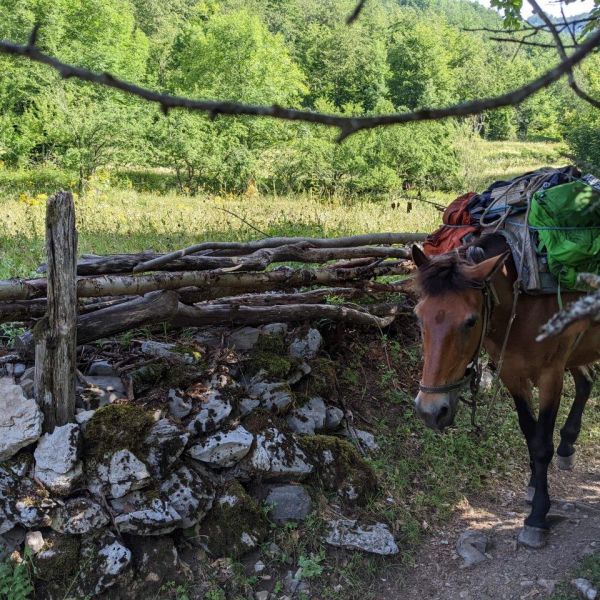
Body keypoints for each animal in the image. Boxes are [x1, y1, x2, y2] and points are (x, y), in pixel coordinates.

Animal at [412, 233, 600, 548]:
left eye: (470, 321)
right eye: (418, 317)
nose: (430, 411)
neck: (522, 302)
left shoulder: (550, 376)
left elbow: (541, 444)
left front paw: (537, 518)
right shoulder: (512, 373)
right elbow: (529, 433)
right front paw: (535, 485)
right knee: (586, 380)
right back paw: (567, 444)